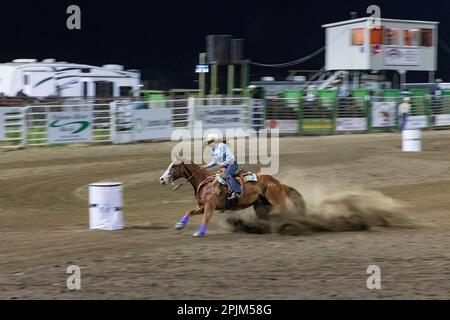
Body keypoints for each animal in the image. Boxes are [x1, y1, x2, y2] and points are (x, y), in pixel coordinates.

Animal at [159, 156, 306, 236]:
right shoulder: (202, 206)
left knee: (287, 213)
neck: (205, 181)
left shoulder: (210, 206)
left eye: (173, 166)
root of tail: (277, 182)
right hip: (261, 206)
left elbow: (205, 219)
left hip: (277, 201)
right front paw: (179, 225)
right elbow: (189, 212)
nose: (162, 179)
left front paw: (200, 232)